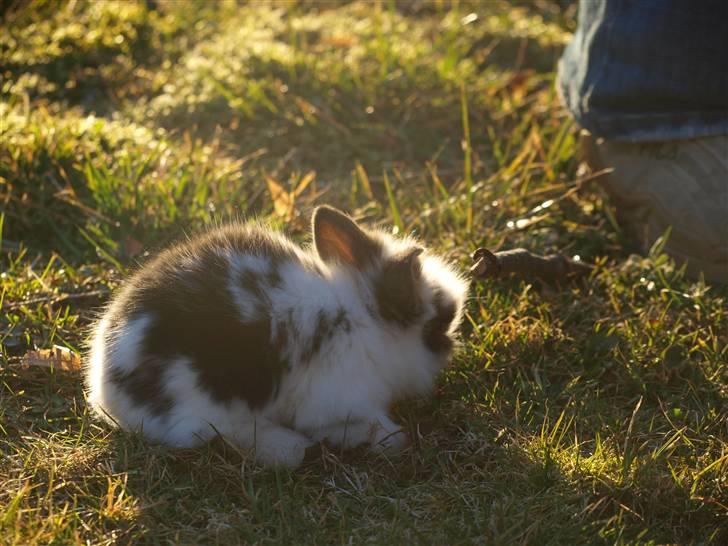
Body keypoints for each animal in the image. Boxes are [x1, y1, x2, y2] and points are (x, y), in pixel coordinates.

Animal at [85, 204, 470, 464]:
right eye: (436, 327)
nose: (451, 346)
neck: (362, 319)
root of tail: (103, 388)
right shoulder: (340, 400)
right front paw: (392, 440)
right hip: (207, 403)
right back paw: (292, 449)